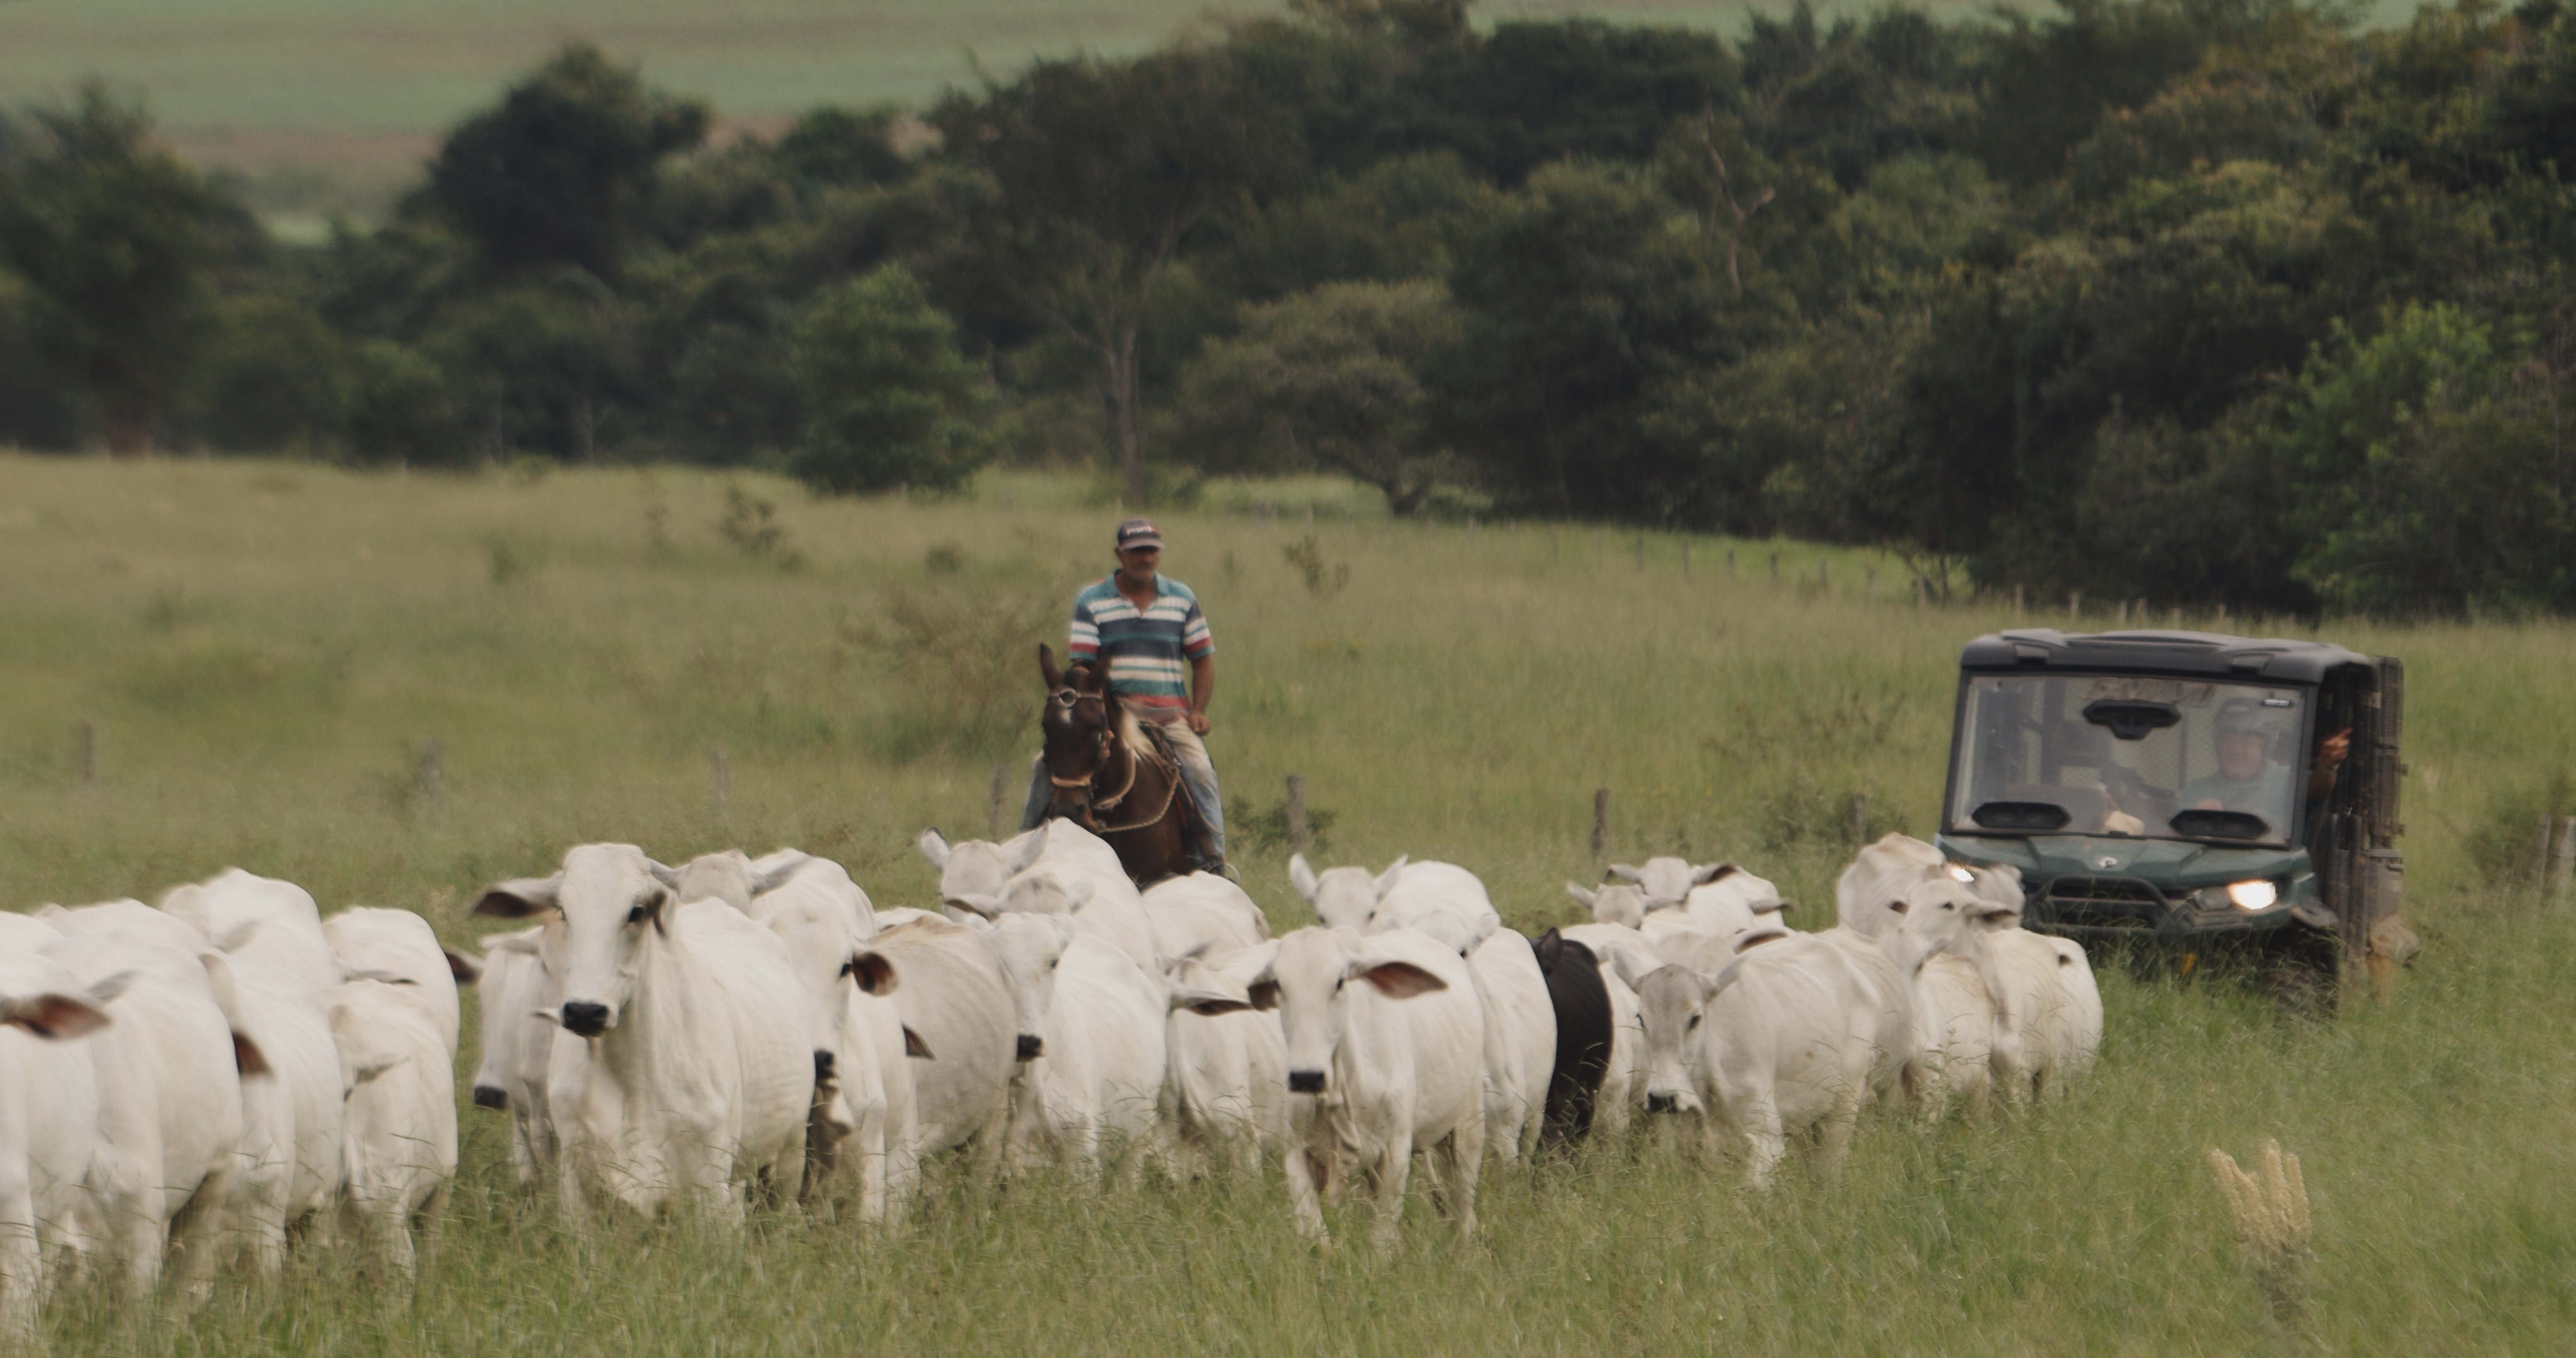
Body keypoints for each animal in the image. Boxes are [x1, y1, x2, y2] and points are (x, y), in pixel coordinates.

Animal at [474, 845, 809, 1226]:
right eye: (562, 910)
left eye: (636, 911)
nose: (585, 1011)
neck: (630, 1078)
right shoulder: (576, 1187)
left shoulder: (710, 1190)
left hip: (790, 1150)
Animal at [1236, 922, 1484, 1252]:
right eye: (1278, 984)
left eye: (1340, 982)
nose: (1307, 1077)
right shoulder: (1296, 1153)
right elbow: (1317, 1238)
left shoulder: (1396, 1152)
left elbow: (1380, 1239)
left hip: (1468, 1126)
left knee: (1463, 1206)